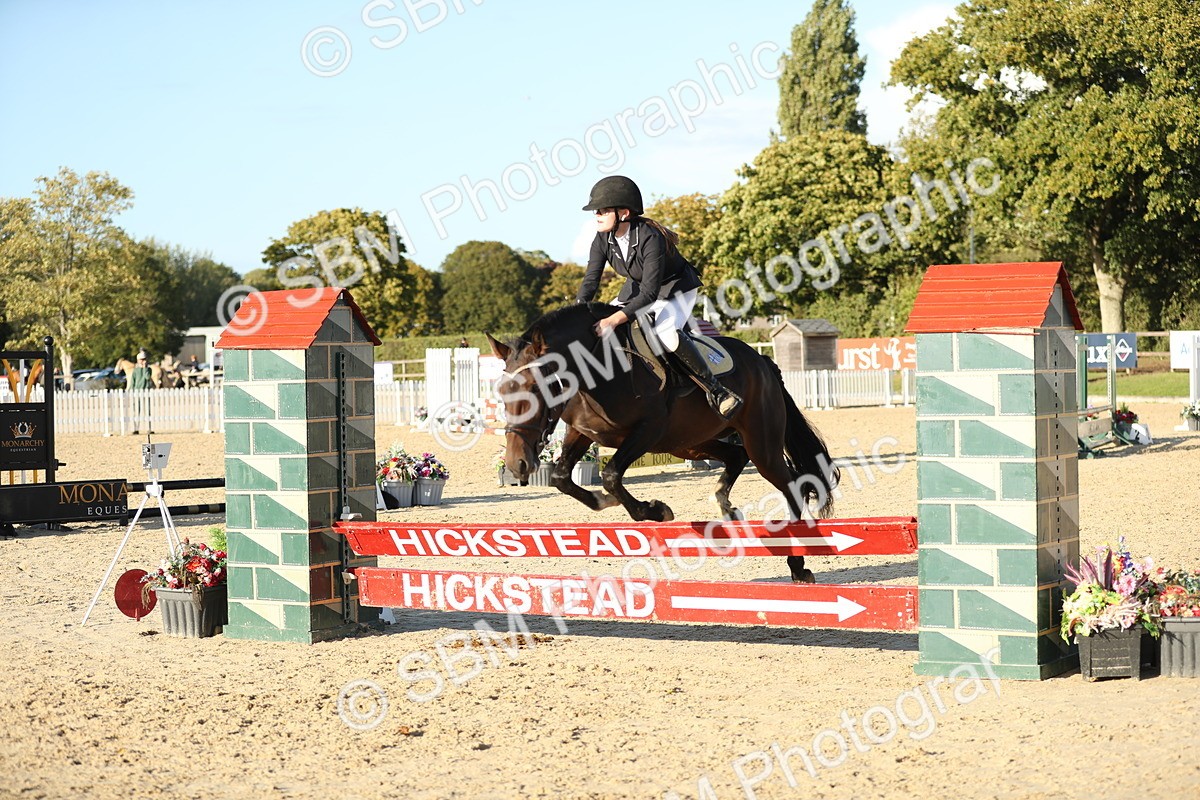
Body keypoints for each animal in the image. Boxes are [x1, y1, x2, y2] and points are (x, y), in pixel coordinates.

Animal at [488, 303, 840, 583]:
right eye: (501, 390)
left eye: (536, 387)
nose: (517, 464)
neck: (594, 373)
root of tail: (761, 360)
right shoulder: (582, 432)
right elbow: (562, 478)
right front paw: (605, 502)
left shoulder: (648, 430)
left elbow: (611, 475)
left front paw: (655, 510)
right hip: (689, 442)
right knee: (736, 457)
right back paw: (726, 508)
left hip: (760, 444)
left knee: (790, 484)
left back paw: (797, 564)